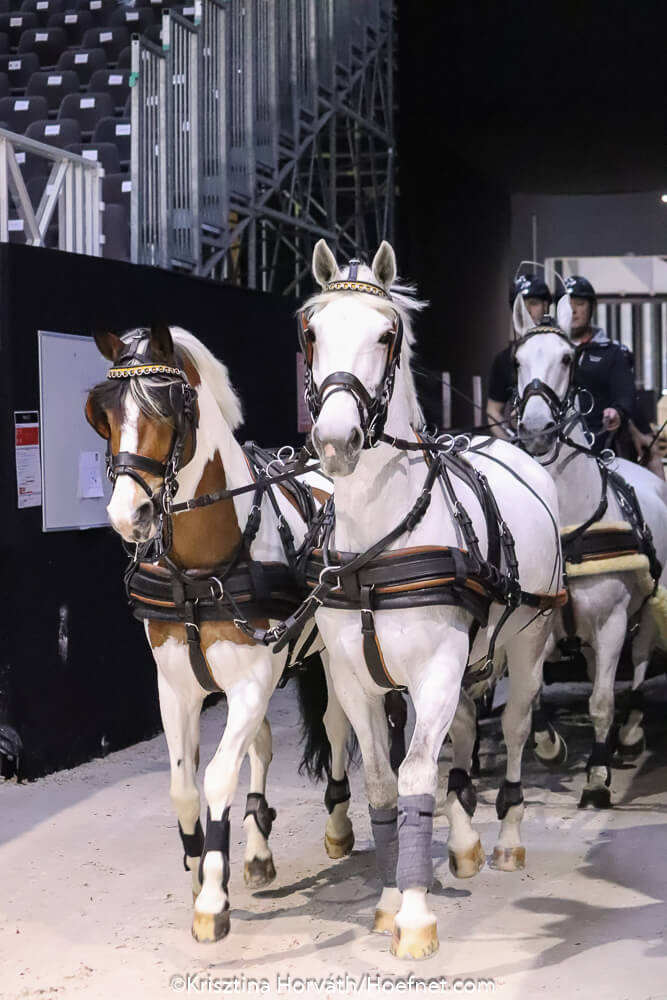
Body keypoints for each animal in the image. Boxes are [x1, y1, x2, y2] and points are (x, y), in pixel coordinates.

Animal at [85, 324, 355, 943]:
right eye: (104, 414)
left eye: (167, 409)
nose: (127, 515)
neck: (198, 571)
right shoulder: (178, 688)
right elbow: (185, 787)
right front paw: (200, 868)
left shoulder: (253, 681)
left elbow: (215, 779)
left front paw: (211, 896)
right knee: (262, 745)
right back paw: (256, 848)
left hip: (330, 659)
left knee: (337, 727)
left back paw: (338, 823)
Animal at [292, 239, 565, 959]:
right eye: (310, 332)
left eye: (386, 335)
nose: (335, 439)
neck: (379, 541)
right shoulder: (357, 680)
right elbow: (383, 785)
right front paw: (390, 900)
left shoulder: (436, 670)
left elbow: (418, 774)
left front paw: (414, 916)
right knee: (467, 731)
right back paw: (466, 841)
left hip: (528, 640)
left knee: (516, 725)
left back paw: (507, 838)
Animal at [513, 299, 667, 808]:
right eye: (517, 361)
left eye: (567, 359)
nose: (536, 431)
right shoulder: (536, 624)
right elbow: (533, 693)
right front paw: (549, 747)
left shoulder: (613, 620)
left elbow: (602, 702)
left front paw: (597, 778)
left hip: (643, 612)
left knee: (636, 670)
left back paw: (631, 734)